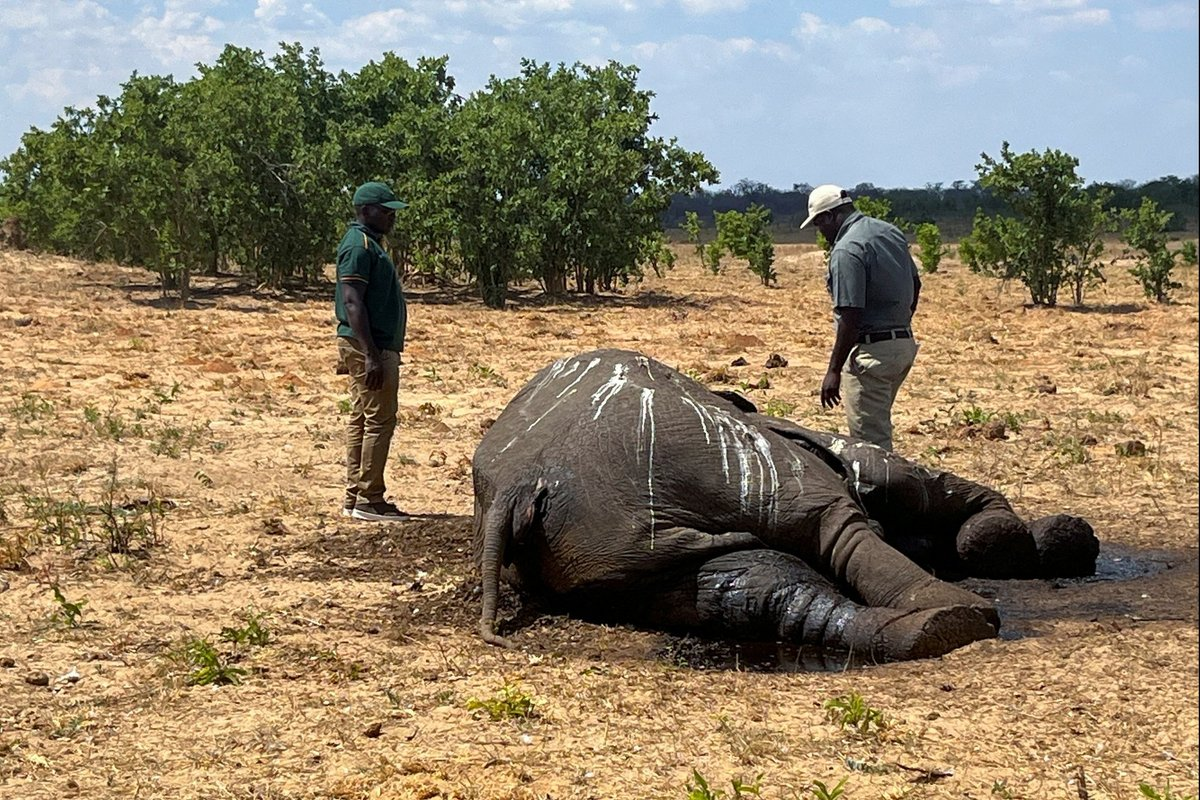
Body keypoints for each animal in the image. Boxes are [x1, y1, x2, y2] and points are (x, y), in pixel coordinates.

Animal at [470, 350, 1099, 662]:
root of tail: (525, 480)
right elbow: (913, 485)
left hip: (606, 548)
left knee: (749, 590)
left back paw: (924, 631)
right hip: (709, 455)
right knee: (832, 524)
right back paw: (955, 616)